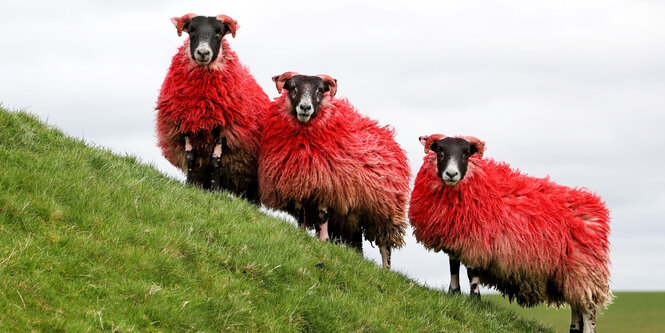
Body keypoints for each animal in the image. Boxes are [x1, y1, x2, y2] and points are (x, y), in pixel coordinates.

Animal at [155, 12, 268, 202]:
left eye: (219, 33)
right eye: (192, 32)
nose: (203, 52)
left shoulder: (223, 128)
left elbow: (216, 160)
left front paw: (215, 191)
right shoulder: (186, 122)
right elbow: (190, 156)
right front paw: (190, 184)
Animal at [255, 72, 408, 268]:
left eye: (320, 90)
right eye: (293, 87)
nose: (305, 107)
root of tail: (388, 136)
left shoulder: (328, 185)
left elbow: (322, 214)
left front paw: (323, 240)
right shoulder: (295, 183)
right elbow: (300, 213)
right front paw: (300, 233)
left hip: (385, 211)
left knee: (385, 246)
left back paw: (386, 269)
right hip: (352, 216)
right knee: (357, 242)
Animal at [410, 134, 612, 330]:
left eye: (466, 153)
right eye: (440, 151)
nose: (451, 174)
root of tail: (596, 209)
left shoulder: (477, 243)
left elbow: (472, 275)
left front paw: (475, 301)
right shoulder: (455, 239)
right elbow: (453, 267)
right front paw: (453, 293)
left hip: (585, 272)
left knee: (588, 312)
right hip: (571, 276)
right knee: (576, 306)